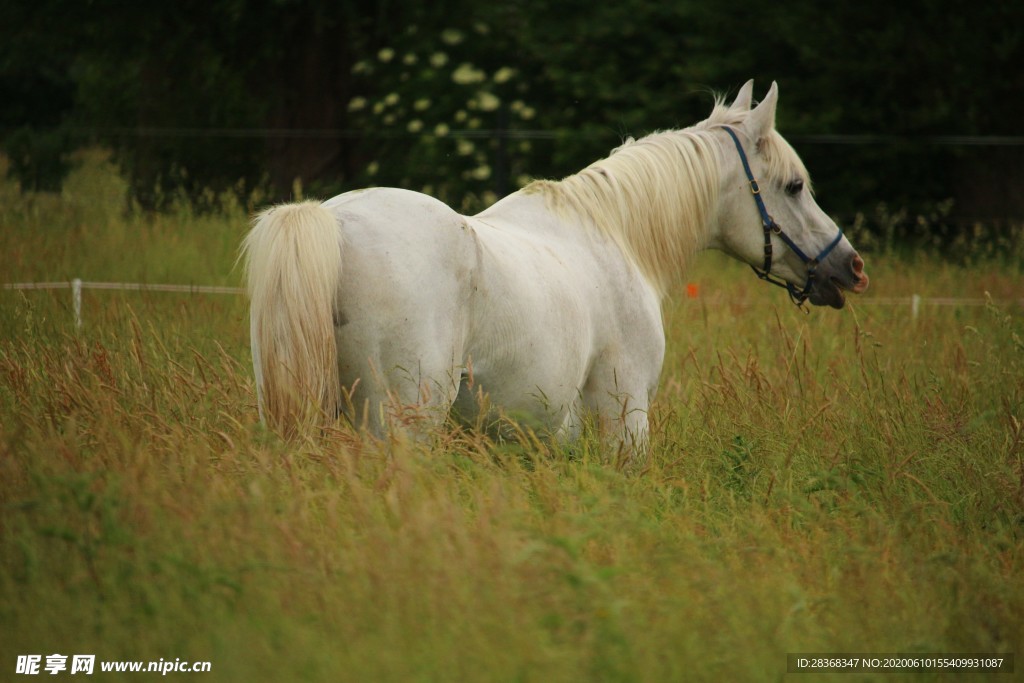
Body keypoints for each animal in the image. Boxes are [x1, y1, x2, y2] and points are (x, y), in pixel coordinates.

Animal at [241, 80, 869, 446]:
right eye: (794, 186)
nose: (852, 267)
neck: (613, 232)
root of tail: (334, 221)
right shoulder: (625, 420)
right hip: (401, 429)